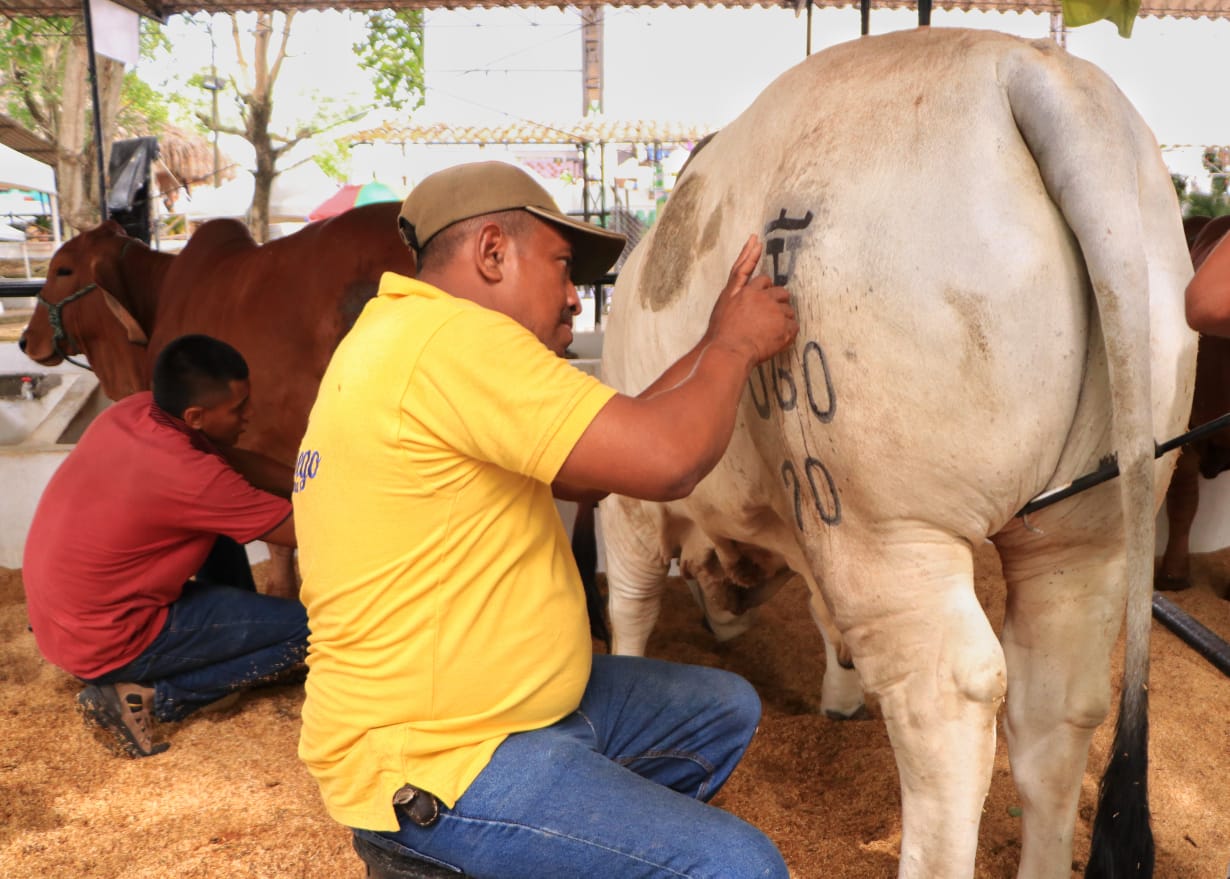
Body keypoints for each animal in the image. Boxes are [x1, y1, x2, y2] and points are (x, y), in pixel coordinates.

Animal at [600, 27, 1195, 879]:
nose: (728, 615)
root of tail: (1033, 64)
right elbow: (825, 617)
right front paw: (839, 697)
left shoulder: (635, 498)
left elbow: (632, 598)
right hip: (1091, 523)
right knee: (1056, 704)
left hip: (882, 523)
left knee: (947, 699)